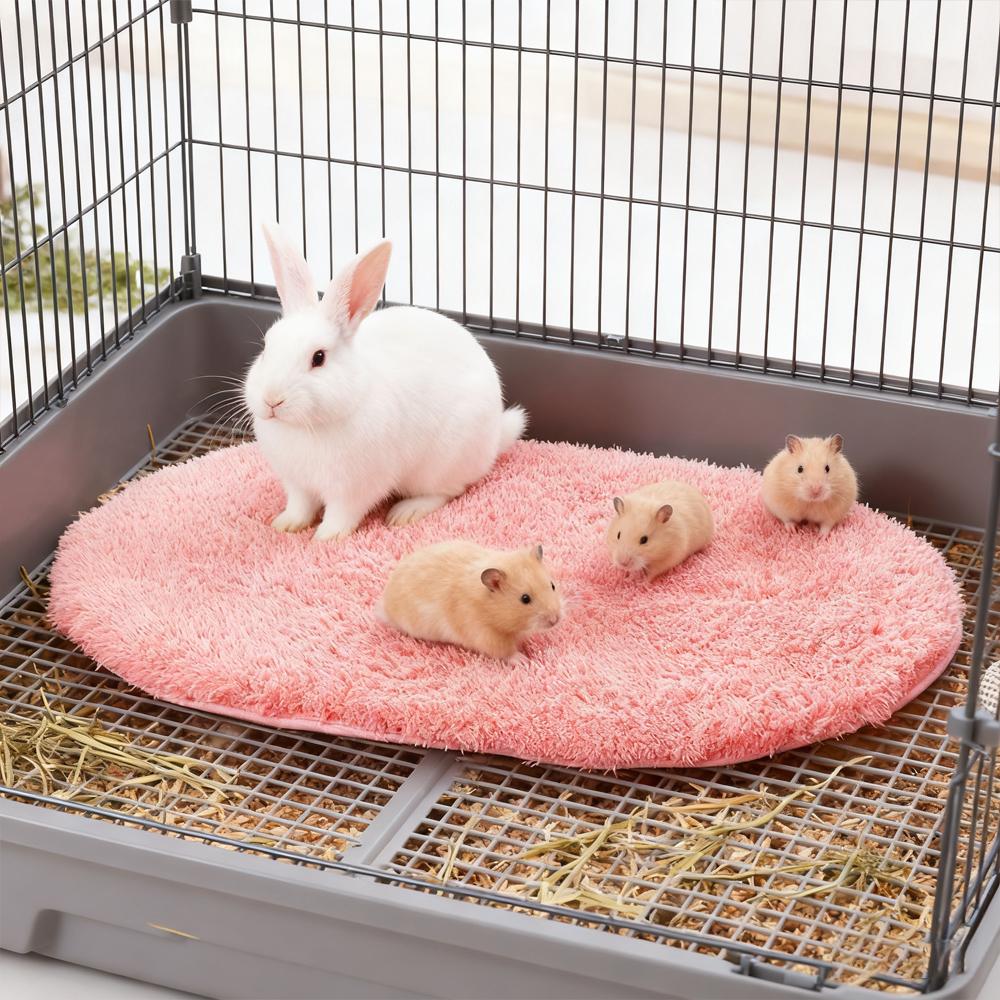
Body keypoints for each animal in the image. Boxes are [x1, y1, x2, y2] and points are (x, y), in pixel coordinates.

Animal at [243, 223, 527, 541]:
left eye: (318, 358)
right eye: (265, 347)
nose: (272, 399)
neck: (305, 428)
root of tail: (495, 438)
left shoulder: (354, 488)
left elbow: (341, 514)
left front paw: (325, 537)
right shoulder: (297, 483)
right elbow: (300, 505)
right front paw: (285, 525)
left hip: (440, 465)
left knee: (447, 491)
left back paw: (406, 512)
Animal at [380, 541, 562, 660]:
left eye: (553, 585)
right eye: (525, 599)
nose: (555, 620)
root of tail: (384, 602)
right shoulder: (484, 633)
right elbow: (504, 651)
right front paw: (523, 659)